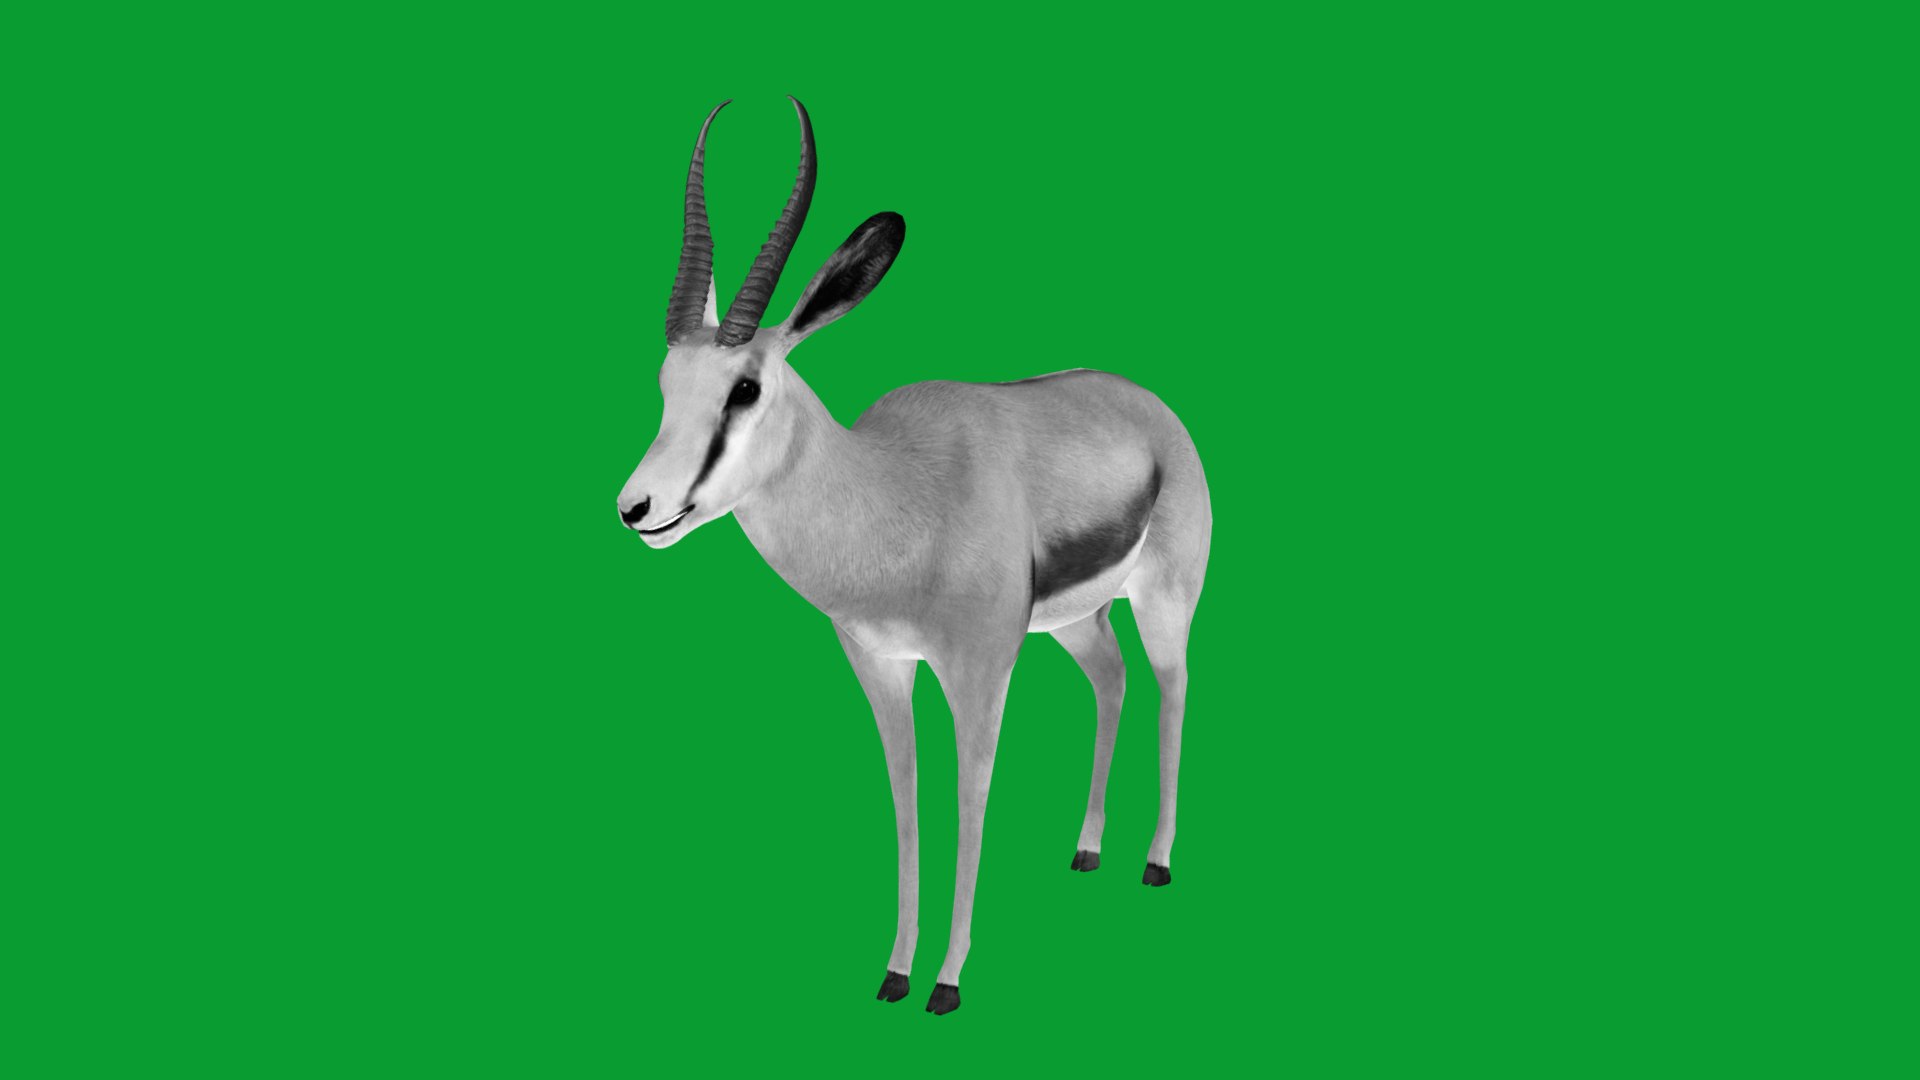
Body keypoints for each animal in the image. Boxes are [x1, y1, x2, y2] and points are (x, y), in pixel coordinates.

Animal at [616, 98, 1211, 1015]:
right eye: (664, 385)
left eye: (745, 387)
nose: (638, 508)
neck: (896, 504)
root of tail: (1150, 404)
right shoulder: (882, 667)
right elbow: (906, 795)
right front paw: (895, 970)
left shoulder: (979, 669)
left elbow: (971, 793)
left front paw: (948, 980)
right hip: (1076, 622)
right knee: (1111, 679)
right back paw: (1086, 851)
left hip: (1163, 602)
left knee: (1173, 689)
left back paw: (1155, 861)